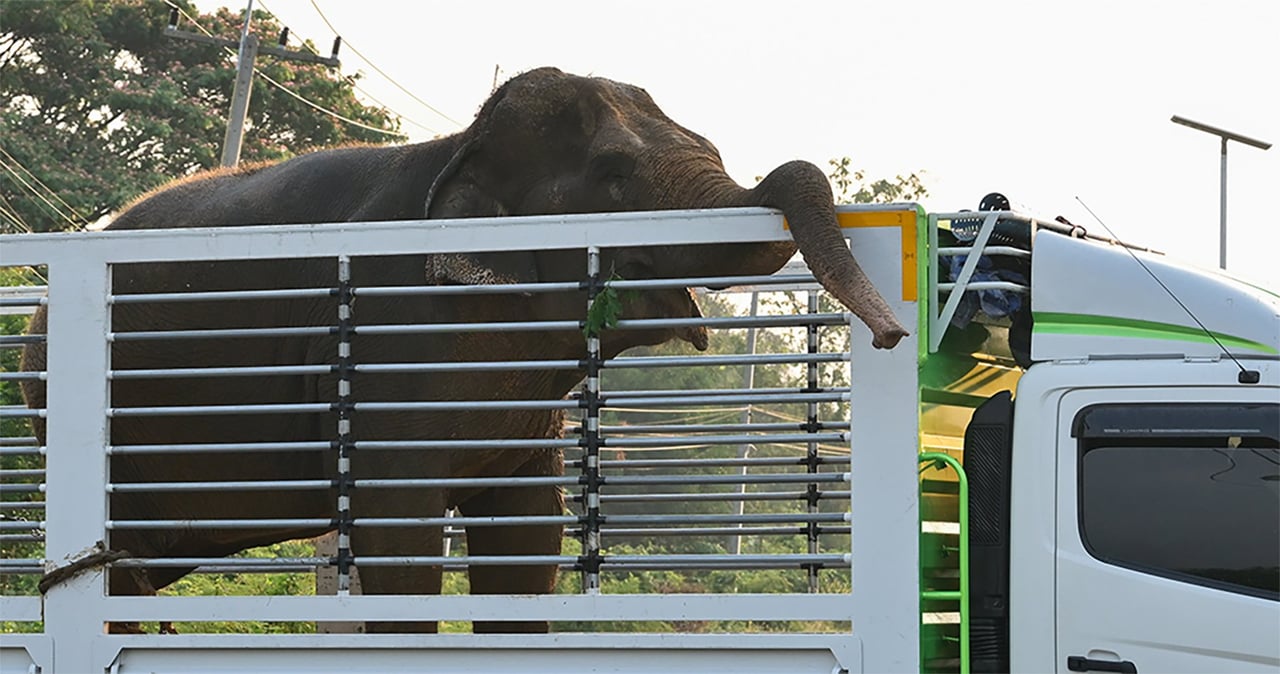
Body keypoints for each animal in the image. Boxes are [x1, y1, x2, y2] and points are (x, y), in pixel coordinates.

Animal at [20, 66, 907, 634]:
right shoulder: (389, 347)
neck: (457, 143)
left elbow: (529, 541)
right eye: (613, 174)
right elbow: (398, 539)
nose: (891, 333)